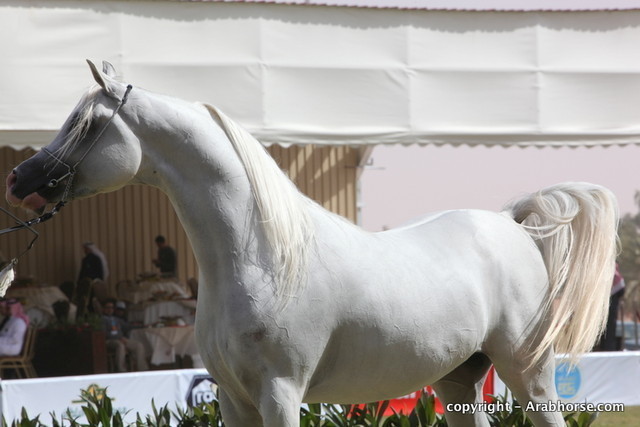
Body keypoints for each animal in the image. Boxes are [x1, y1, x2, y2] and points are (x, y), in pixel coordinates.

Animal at [5, 61, 618, 427]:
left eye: (87, 126)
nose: (19, 180)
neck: (263, 260)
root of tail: (511, 224)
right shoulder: (233, 399)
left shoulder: (281, 394)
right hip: (457, 380)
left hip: (528, 375)